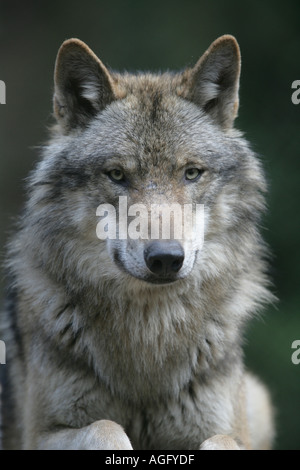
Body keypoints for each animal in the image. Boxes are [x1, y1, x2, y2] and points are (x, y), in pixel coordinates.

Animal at [1, 35, 276, 448]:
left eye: (191, 173)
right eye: (117, 175)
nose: (165, 258)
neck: (149, 330)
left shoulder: (230, 431)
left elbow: (219, 441)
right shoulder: (41, 434)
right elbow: (107, 428)